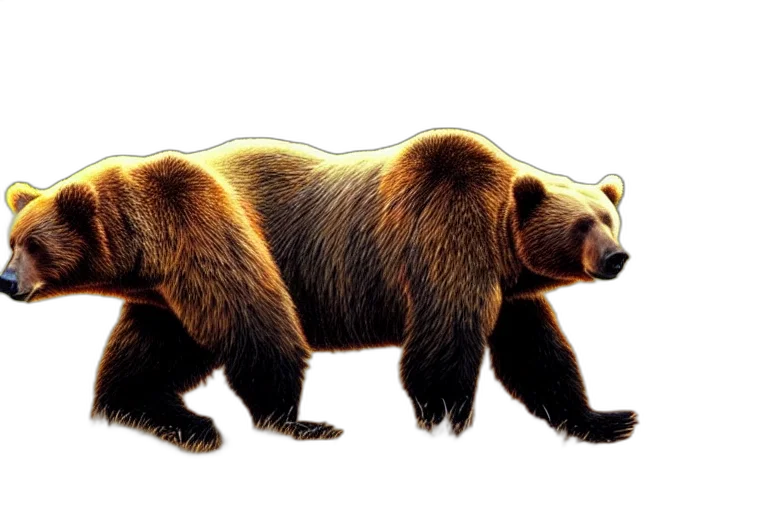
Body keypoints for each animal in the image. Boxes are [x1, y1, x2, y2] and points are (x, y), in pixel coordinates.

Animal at [0, 128, 637, 453]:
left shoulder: (508, 282)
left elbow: (537, 352)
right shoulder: (441, 231)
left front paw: (606, 418)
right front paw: (307, 419)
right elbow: (256, 320)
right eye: (18, 241)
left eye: (608, 219)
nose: (616, 256)